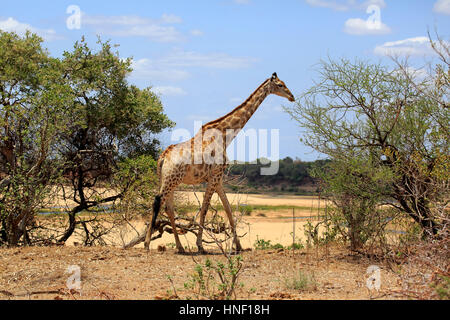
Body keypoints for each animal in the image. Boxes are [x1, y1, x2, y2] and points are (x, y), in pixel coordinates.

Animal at [144, 72, 298, 252]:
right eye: (280, 85)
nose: (292, 97)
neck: (225, 135)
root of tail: (163, 157)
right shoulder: (214, 176)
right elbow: (204, 209)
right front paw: (200, 246)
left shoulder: (218, 179)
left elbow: (228, 209)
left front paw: (239, 246)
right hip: (172, 179)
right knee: (157, 201)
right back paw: (147, 243)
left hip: (168, 180)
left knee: (168, 207)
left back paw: (180, 247)